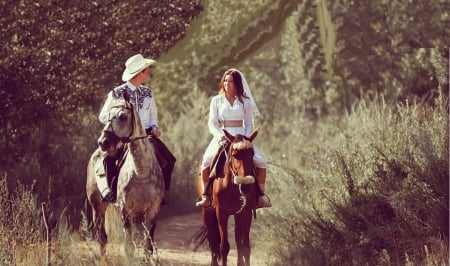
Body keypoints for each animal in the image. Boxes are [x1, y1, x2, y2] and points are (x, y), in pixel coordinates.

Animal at [85, 92, 164, 258]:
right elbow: (129, 248)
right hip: (97, 207)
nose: (103, 142)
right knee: (102, 237)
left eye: (122, 116)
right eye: (108, 115)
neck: (141, 172)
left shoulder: (152, 212)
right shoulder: (126, 211)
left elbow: (147, 247)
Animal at [192, 129, 256, 266]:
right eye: (235, 154)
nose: (246, 186)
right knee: (213, 240)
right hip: (207, 212)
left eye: (252, 154)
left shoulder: (246, 212)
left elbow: (246, 247)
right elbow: (224, 247)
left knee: (237, 240)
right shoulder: (221, 213)